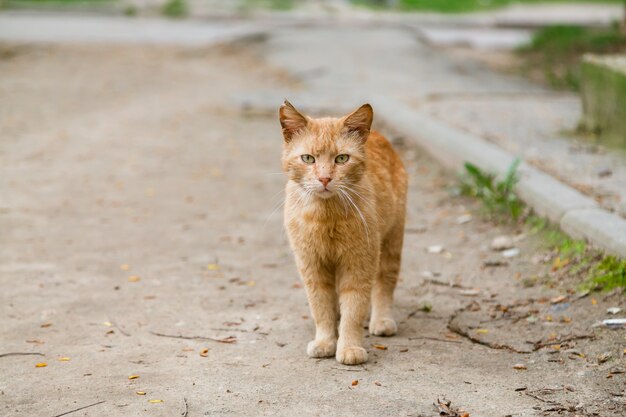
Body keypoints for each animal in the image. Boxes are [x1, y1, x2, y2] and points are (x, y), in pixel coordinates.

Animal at [280, 101, 408, 364]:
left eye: (341, 158)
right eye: (308, 158)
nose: (324, 178)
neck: (326, 217)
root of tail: (378, 134)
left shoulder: (358, 264)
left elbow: (354, 310)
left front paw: (349, 347)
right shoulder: (313, 267)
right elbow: (321, 308)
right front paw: (325, 341)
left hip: (391, 243)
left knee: (384, 284)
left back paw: (382, 320)